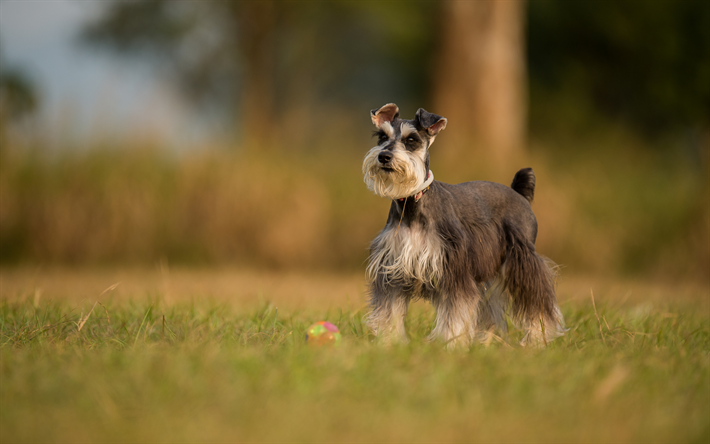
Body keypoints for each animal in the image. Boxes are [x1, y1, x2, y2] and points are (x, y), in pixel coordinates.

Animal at [362, 104, 568, 346]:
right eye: (382, 137)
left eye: (411, 139)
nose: (384, 156)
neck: (412, 204)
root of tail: (518, 193)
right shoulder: (392, 272)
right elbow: (390, 312)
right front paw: (389, 343)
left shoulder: (454, 271)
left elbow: (455, 312)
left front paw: (451, 342)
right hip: (490, 273)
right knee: (492, 308)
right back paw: (487, 341)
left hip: (524, 259)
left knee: (539, 302)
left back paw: (538, 338)